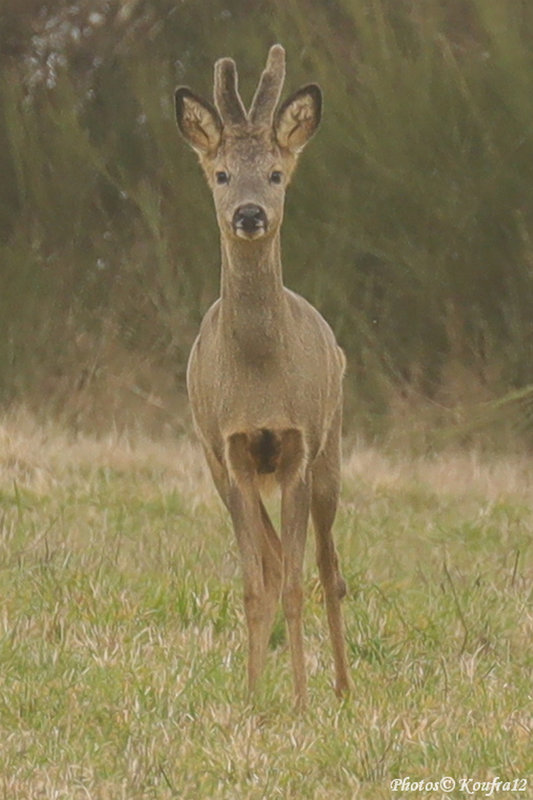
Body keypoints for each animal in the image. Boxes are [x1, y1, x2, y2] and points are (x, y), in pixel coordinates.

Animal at [172, 43, 352, 708]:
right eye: (222, 174)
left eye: (275, 174)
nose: (249, 214)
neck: (259, 374)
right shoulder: (232, 448)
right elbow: (256, 582)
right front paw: (253, 701)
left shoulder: (299, 443)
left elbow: (300, 582)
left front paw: (298, 701)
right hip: (215, 466)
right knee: (275, 563)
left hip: (333, 449)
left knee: (328, 568)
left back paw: (343, 688)